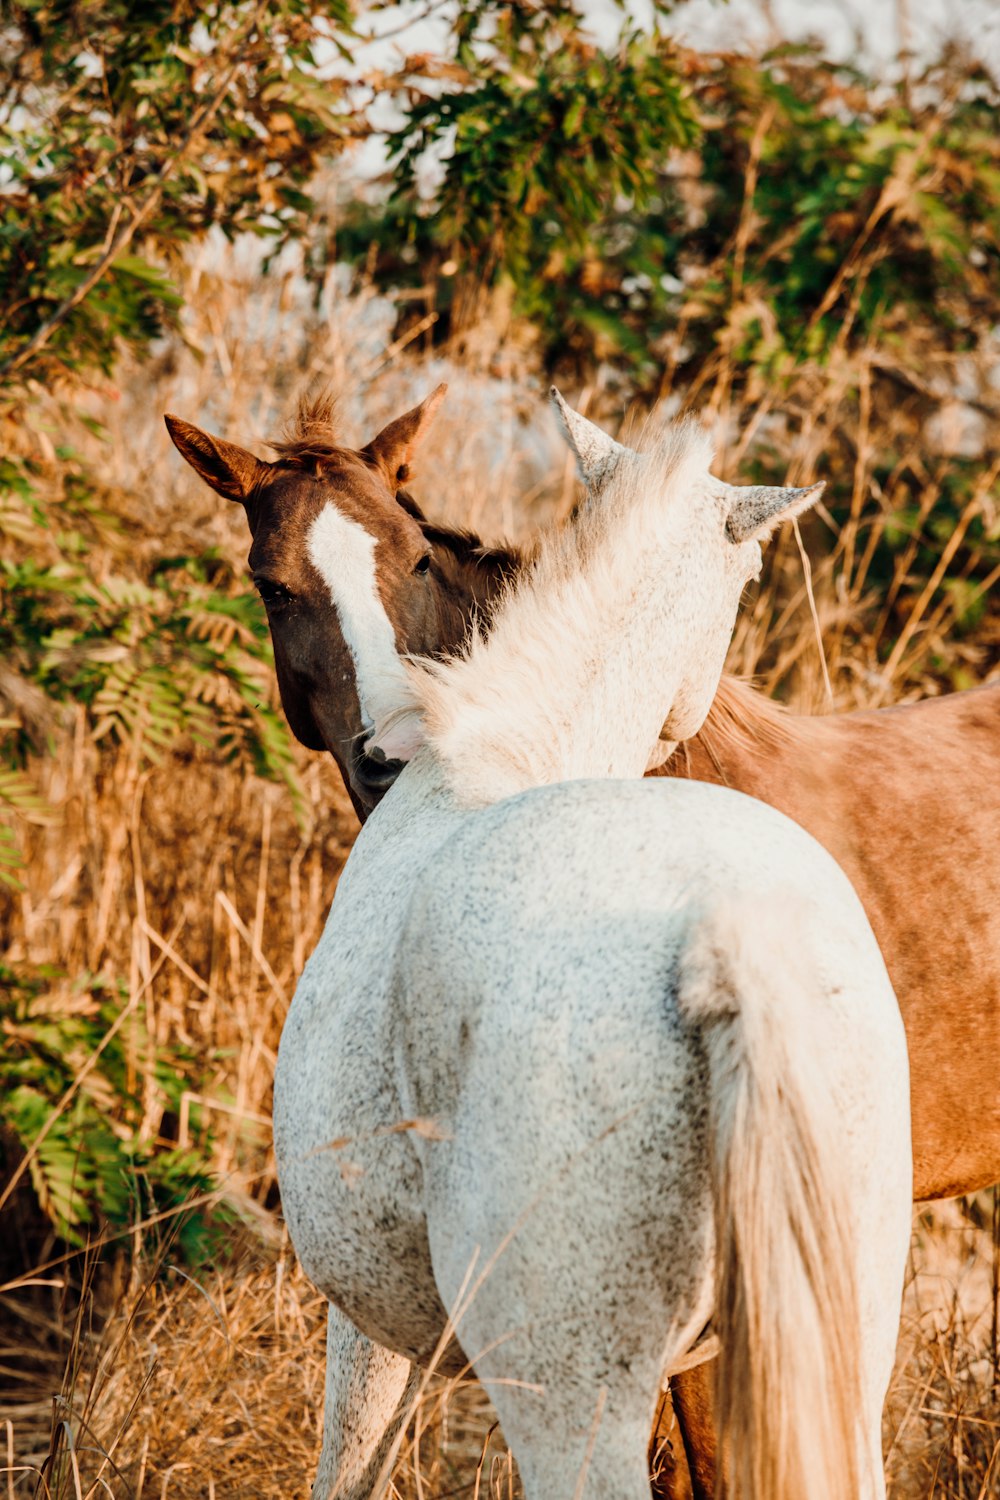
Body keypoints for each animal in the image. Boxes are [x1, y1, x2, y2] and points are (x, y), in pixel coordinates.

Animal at [166, 396, 1000, 1500]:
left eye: (415, 555)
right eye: (275, 583)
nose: (384, 754)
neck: (517, 747)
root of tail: (721, 943)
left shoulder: (371, 1328)